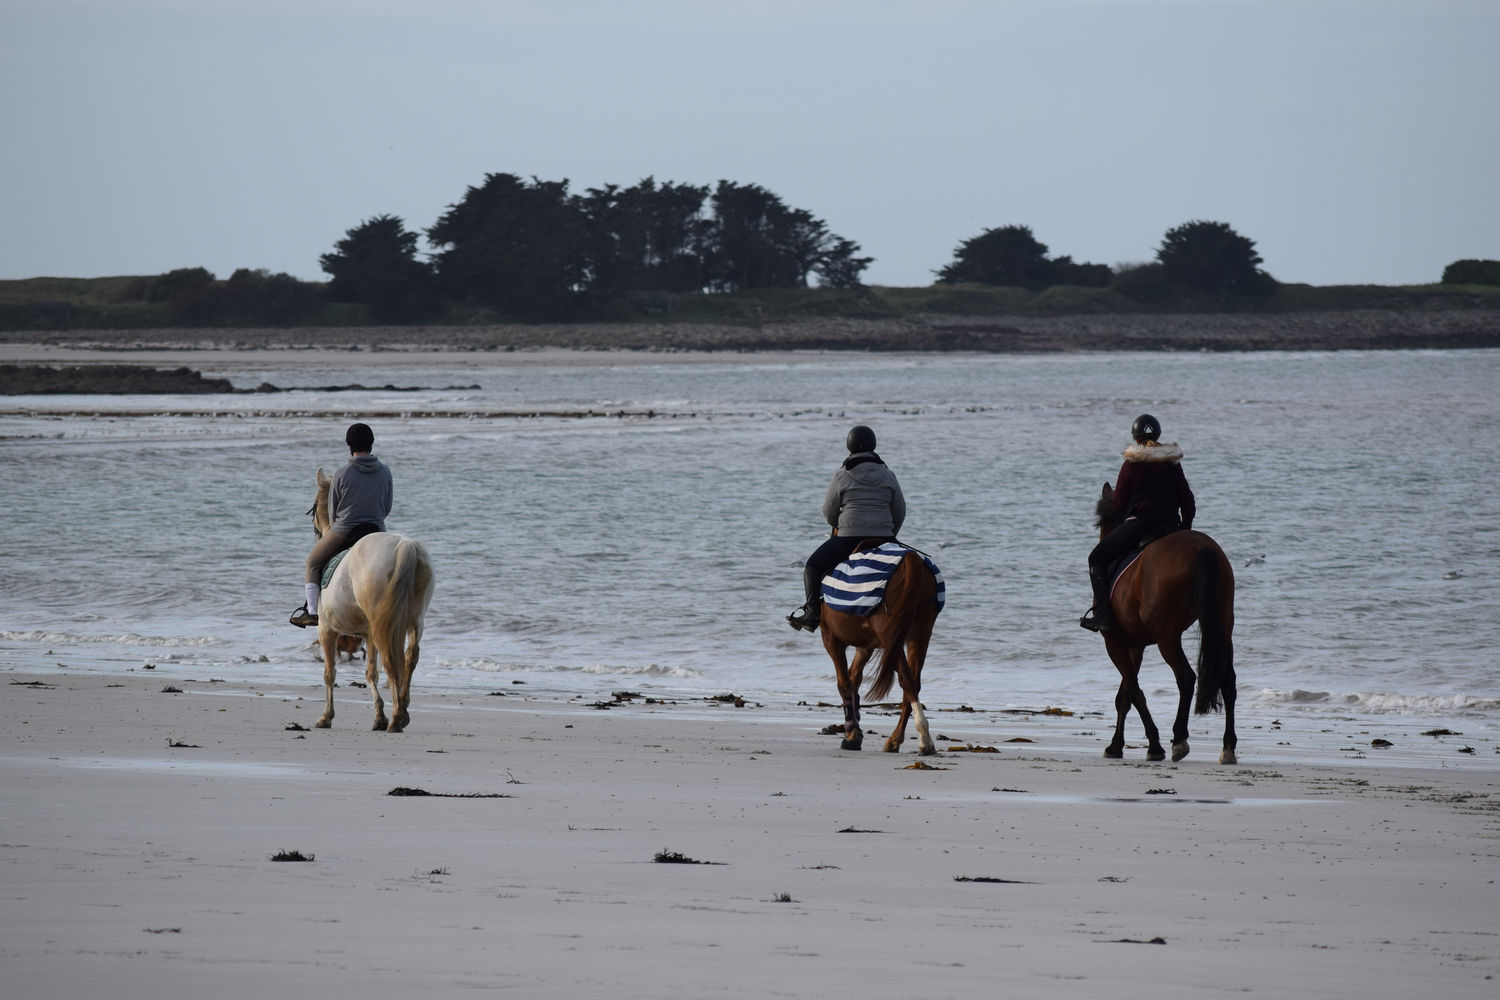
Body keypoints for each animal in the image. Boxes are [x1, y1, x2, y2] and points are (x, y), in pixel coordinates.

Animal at [309, 464, 435, 731]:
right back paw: (402, 710)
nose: (317, 534)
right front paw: (378, 716)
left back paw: (397, 718)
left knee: (391, 659)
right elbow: (370, 673)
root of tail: (404, 545)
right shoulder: (368, 633)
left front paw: (326, 716)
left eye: (315, 505)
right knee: (410, 656)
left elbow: (330, 674)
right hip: (413, 619)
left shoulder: (327, 630)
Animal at [822, 551, 936, 755]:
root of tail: (911, 560)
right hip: (919, 636)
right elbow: (854, 679)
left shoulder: (831, 638)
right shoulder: (866, 646)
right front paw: (854, 731)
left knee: (906, 680)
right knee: (913, 684)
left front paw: (852, 735)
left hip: (891, 636)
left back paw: (924, 739)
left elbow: (844, 683)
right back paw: (895, 740)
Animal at [1092, 485, 1242, 767]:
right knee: (1227, 681)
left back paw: (1179, 740)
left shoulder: (1113, 642)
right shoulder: (1134, 645)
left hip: (1167, 636)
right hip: (1222, 629)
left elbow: (1133, 690)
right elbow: (1124, 696)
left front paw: (1153, 745)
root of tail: (1201, 548)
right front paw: (1116, 745)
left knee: (1186, 677)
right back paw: (1228, 748)